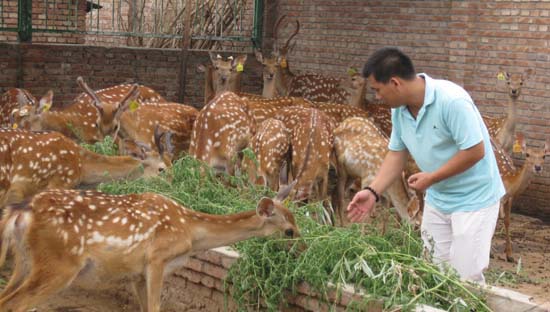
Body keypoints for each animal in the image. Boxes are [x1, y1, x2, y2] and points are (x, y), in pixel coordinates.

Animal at [0, 182, 302, 312]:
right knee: (15, 304)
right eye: (289, 231)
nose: (302, 249)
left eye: (297, 221)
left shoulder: (135, 272)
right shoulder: (156, 259)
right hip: (58, 264)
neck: (190, 230)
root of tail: (21, 212)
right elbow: (156, 307)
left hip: (24, 262)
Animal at [494, 133, 548, 262]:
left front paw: (509, 255)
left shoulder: (509, 199)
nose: (537, 167)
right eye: (527, 154)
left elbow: (507, 221)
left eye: (544, 156)